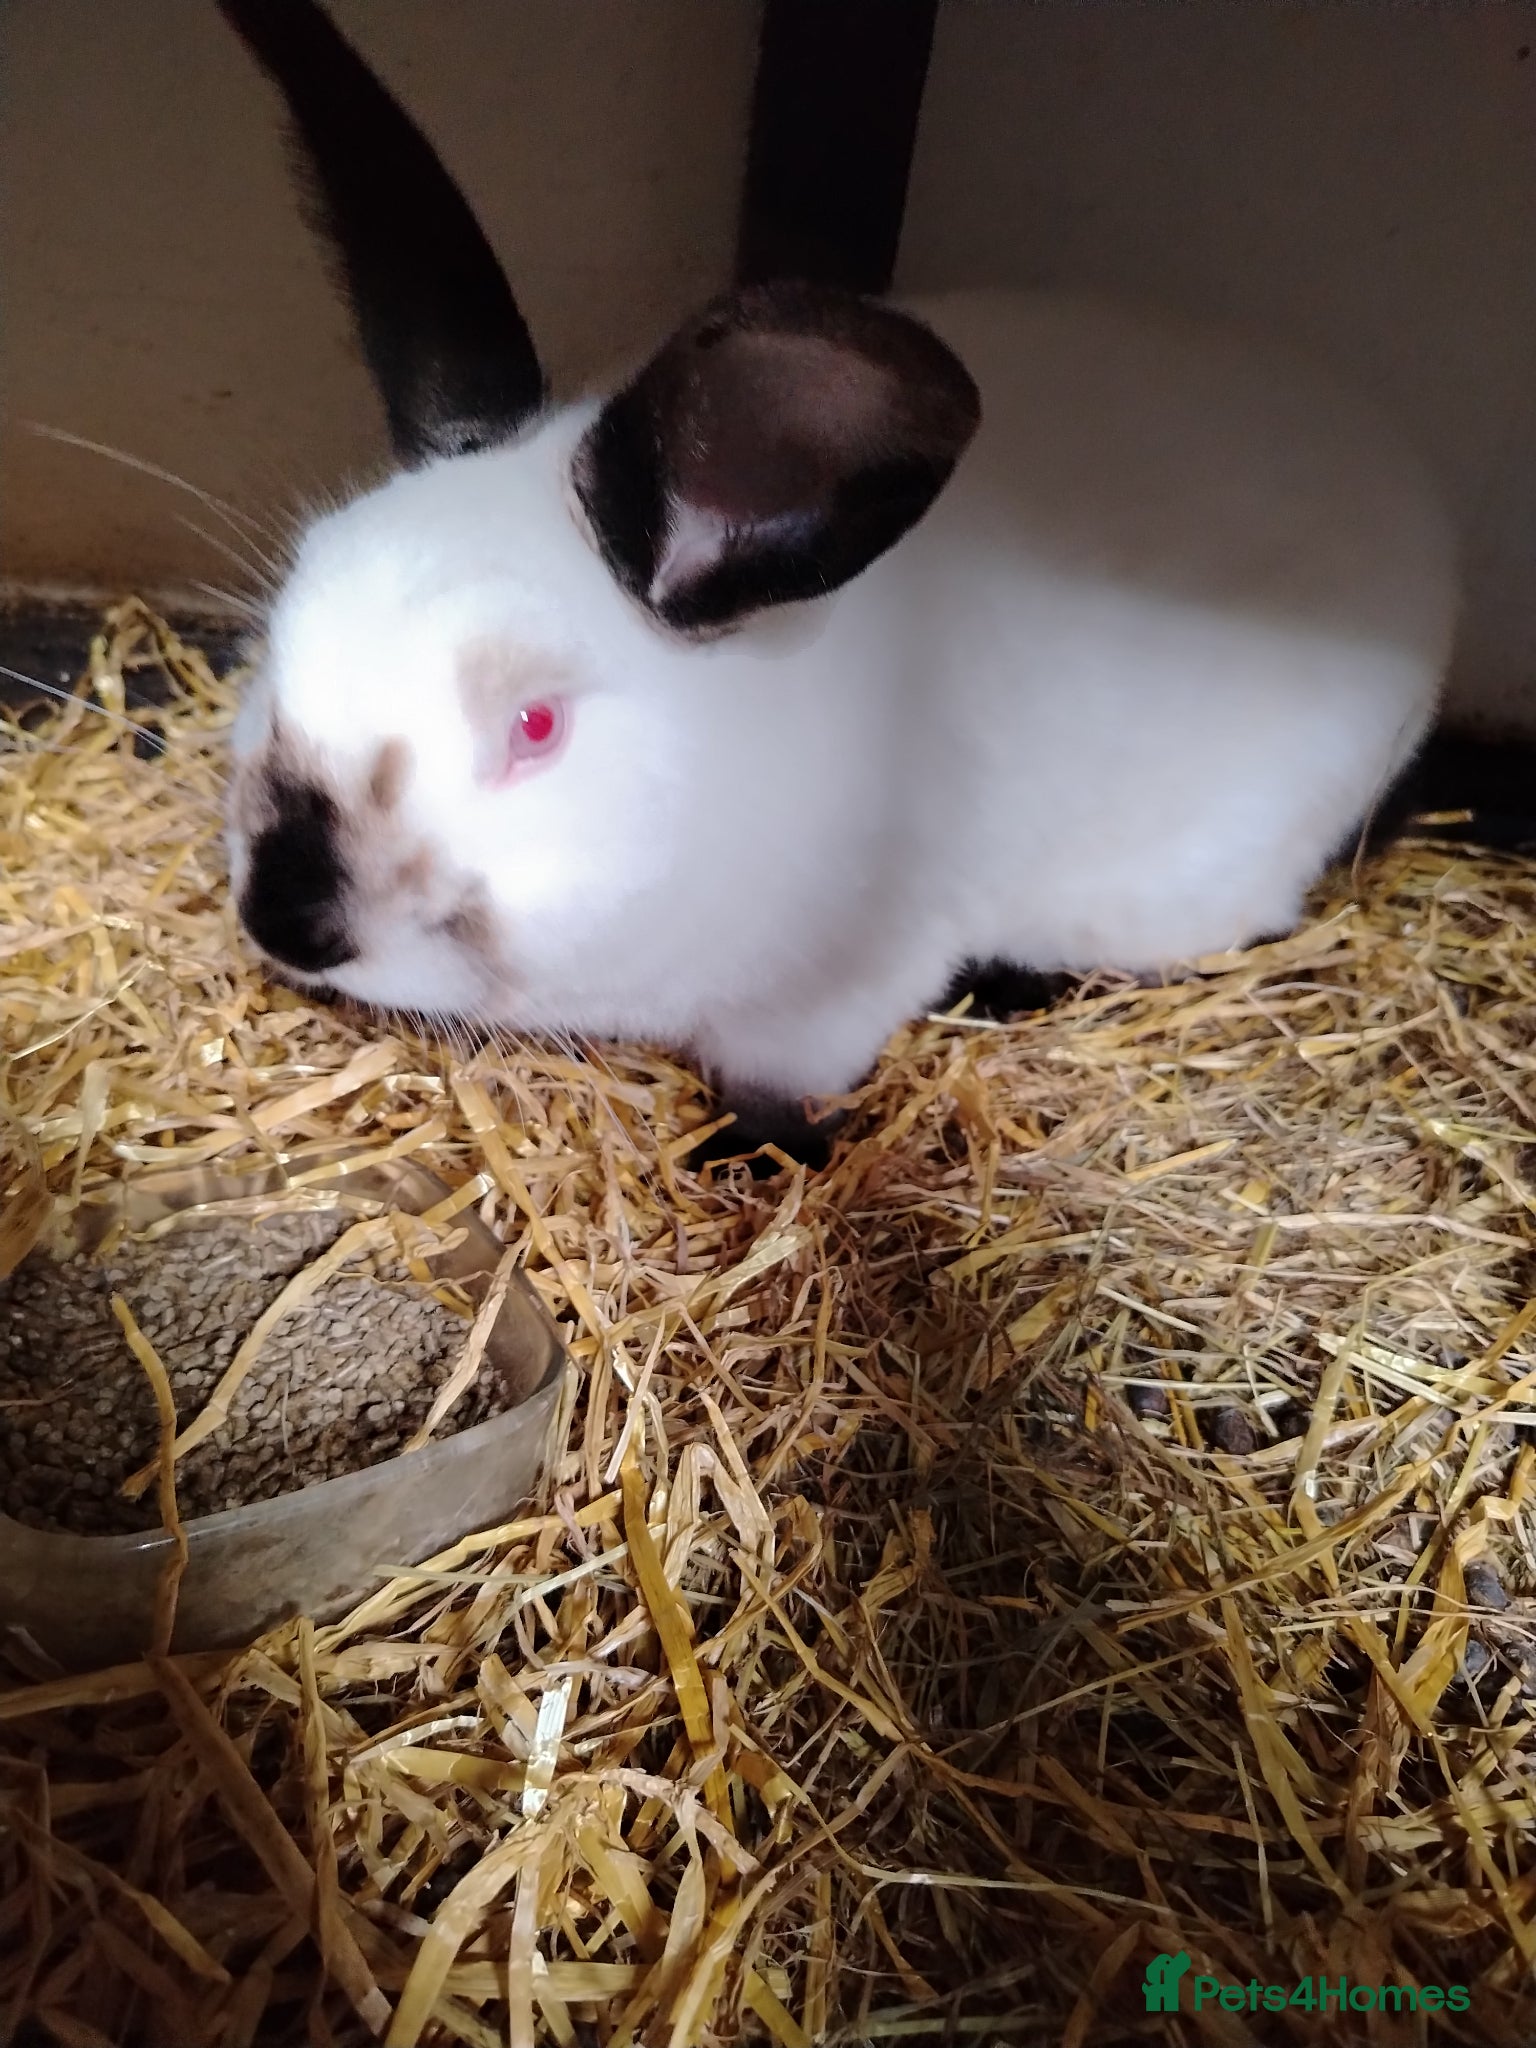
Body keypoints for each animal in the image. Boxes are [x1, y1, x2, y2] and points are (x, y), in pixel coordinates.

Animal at [216, 0, 1459, 1166]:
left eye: (535, 725)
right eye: (281, 639)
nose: (285, 915)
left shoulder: (830, 998)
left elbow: (777, 1093)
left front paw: (758, 1159)